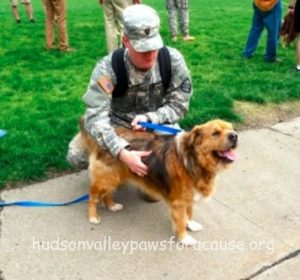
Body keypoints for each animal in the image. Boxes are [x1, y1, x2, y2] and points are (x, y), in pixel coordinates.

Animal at [81, 119, 238, 244]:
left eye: (232, 129)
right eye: (215, 133)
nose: (235, 136)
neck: (193, 160)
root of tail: (104, 137)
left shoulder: (189, 195)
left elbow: (189, 212)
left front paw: (191, 224)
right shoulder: (179, 201)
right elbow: (181, 221)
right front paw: (184, 238)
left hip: (116, 177)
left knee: (108, 193)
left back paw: (111, 206)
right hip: (106, 178)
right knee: (92, 197)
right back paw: (93, 216)